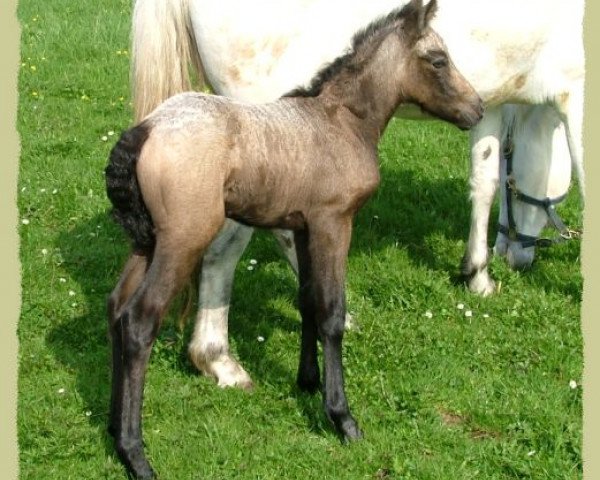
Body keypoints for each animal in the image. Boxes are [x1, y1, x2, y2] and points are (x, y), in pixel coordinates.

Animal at [104, 1, 482, 478]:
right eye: (438, 60)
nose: (477, 108)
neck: (342, 121)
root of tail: (147, 128)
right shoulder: (333, 223)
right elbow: (332, 313)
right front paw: (342, 417)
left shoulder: (303, 227)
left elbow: (307, 301)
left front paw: (307, 382)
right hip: (182, 241)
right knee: (139, 320)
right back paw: (136, 454)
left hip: (147, 241)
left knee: (117, 308)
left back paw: (113, 429)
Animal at [130, 0, 580, 390]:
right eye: (437, 60)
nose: (519, 258)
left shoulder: (494, 103)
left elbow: (485, 179)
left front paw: (478, 273)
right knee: (228, 244)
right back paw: (218, 358)